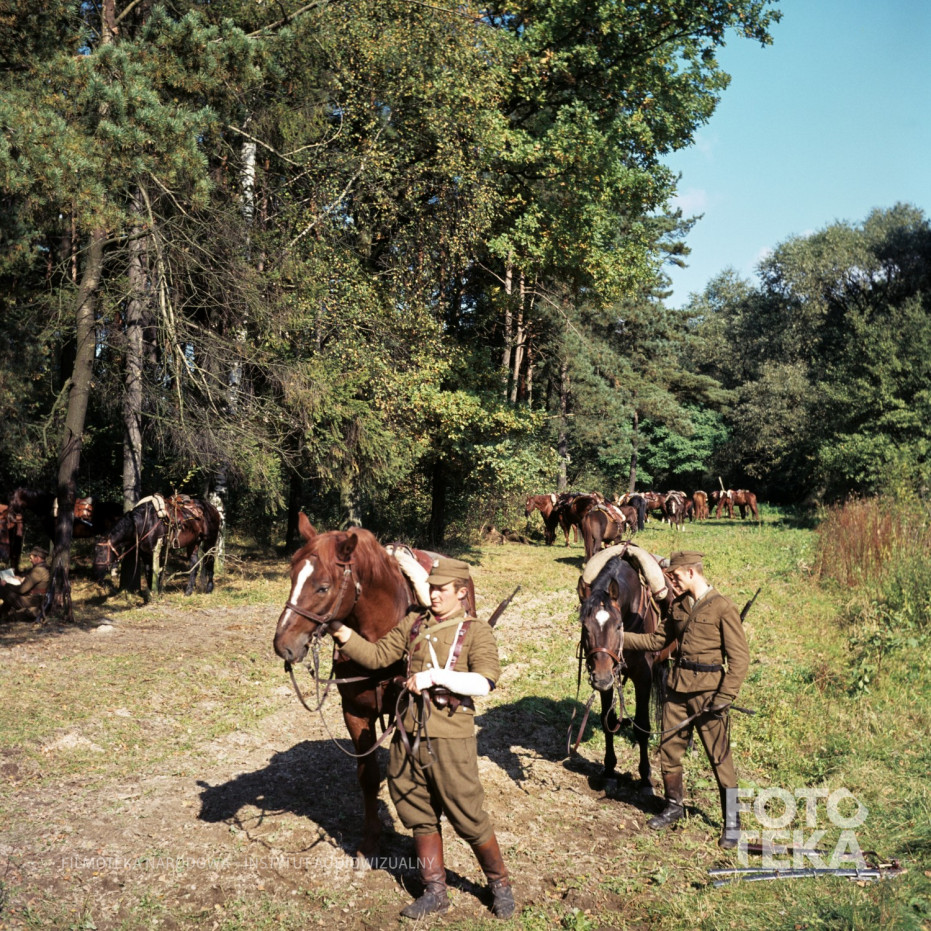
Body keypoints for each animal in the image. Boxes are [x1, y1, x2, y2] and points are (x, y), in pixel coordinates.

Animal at [272, 515, 475, 864]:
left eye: (323, 587)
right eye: (292, 578)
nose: (282, 645)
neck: (378, 632)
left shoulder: (408, 711)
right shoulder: (355, 712)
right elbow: (368, 776)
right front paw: (370, 842)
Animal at [575, 555, 665, 794]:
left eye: (617, 626)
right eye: (585, 627)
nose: (601, 678)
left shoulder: (643, 678)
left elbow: (643, 727)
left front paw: (645, 778)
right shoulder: (607, 679)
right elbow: (608, 721)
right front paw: (609, 771)